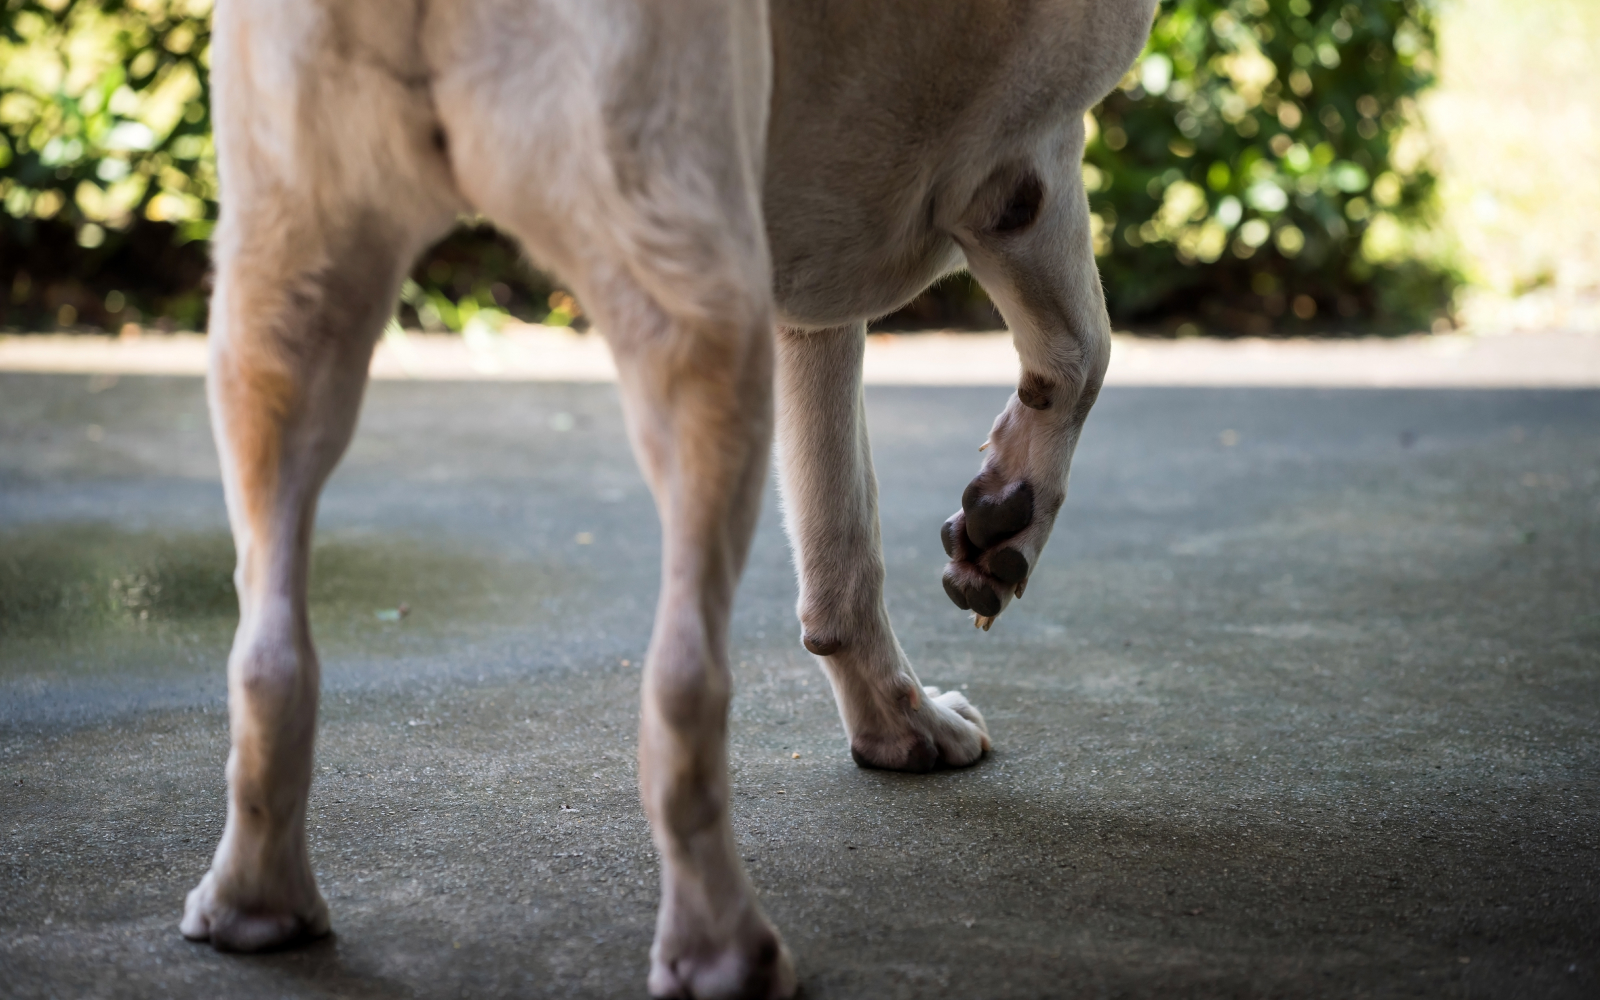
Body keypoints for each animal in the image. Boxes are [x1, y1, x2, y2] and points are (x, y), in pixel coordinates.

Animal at [181, 1, 1158, 992]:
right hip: (698, 317)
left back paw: (256, 904)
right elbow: (1084, 352)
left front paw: (899, 720)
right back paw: (722, 943)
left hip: (282, 307)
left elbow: (840, 526)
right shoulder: (1027, 158)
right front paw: (1005, 519)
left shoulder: (807, 292)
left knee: (267, 656)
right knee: (683, 687)